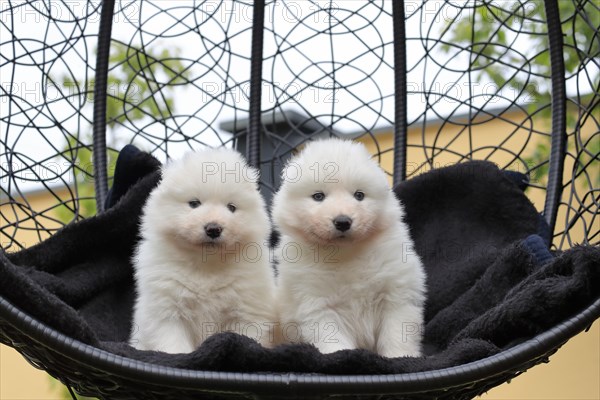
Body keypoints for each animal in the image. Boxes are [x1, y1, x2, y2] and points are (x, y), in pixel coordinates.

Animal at [130, 148, 276, 354]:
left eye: (231, 207)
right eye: (194, 203)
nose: (213, 228)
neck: (206, 265)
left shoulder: (246, 312)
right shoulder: (167, 309)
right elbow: (174, 345)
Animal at [272, 139, 426, 358]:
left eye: (359, 195)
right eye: (318, 196)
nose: (343, 221)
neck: (345, 253)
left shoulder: (396, 294)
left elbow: (397, 332)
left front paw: (400, 357)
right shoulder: (318, 303)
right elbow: (333, 340)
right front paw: (342, 356)